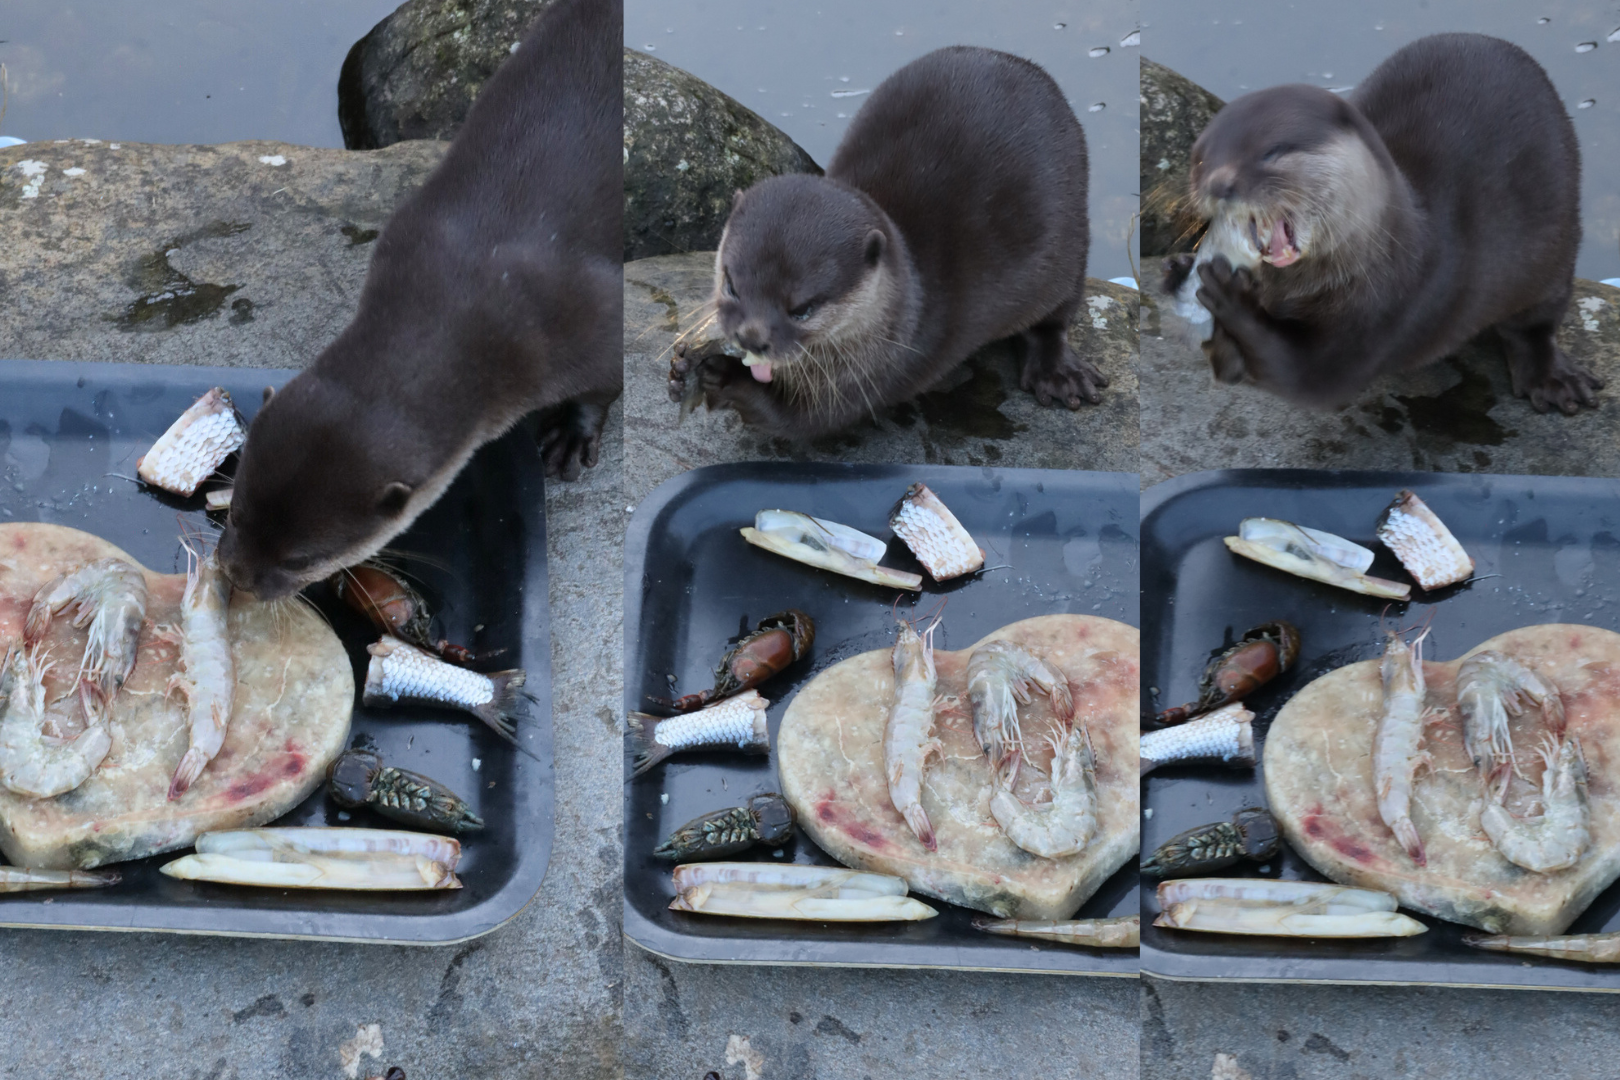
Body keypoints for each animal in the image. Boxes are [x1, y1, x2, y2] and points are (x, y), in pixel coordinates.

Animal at [219, 0, 621, 601]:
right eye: (236, 511)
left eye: (302, 558)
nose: (237, 577)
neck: (464, 290)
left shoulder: (576, 315)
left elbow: (608, 377)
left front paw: (572, 438)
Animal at [672, 45, 1101, 438]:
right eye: (731, 285)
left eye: (803, 309)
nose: (750, 338)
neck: (902, 309)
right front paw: (682, 366)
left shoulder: (872, 376)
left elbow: (798, 421)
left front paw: (726, 374)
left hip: (1069, 246)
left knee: (1056, 314)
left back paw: (1058, 373)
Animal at [1166, 33, 1599, 415]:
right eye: (1200, 159)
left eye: (1272, 152)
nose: (1217, 184)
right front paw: (1178, 269)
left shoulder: (1393, 312)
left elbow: (1307, 376)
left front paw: (1228, 294)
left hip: (1556, 249)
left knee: (1537, 321)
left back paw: (1552, 379)